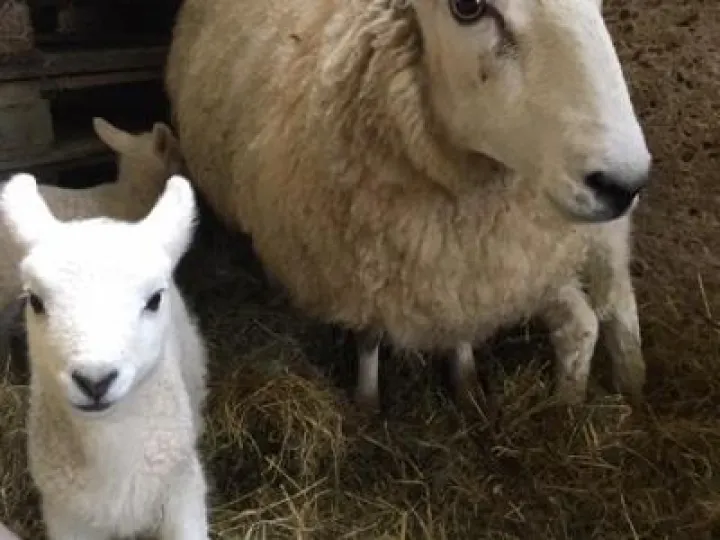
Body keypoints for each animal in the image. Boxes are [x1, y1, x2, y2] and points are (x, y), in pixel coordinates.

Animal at [164, 0, 652, 409]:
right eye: (468, 6)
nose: (623, 183)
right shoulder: (363, 267)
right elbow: (369, 336)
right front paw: (368, 400)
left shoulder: (465, 271)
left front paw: (464, 380)